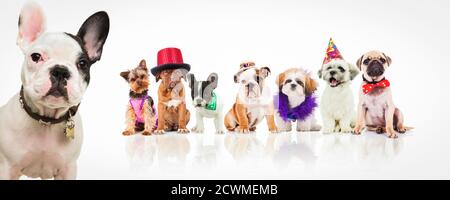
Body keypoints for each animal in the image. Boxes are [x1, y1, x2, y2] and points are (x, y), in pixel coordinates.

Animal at [0, 2, 109, 179]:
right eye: (36, 57)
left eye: (83, 63)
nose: (60, 71)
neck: (47, 121)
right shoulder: (7, 168)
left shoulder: (68, 169)